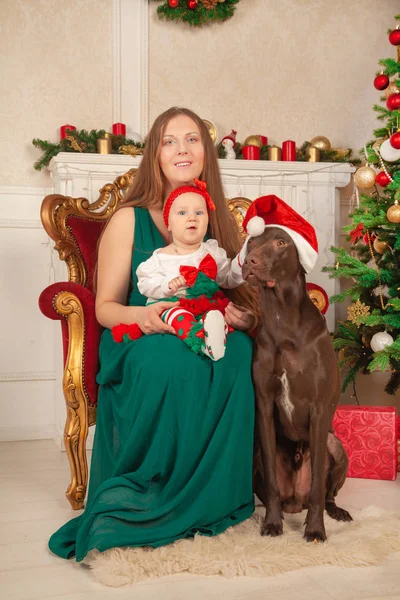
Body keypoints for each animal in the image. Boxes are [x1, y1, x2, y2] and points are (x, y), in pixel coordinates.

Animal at [242, 226, 352, 544]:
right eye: (252, 242)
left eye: (281, 242)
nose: (250, 261)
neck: (283, 320)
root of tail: (295, 503)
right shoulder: (264, 406)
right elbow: (271, 483)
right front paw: (272, 523)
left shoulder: (318, 410)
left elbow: (316, 486)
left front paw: (315, 529)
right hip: (255, 449)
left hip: (335, 445)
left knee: (326, 494)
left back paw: (336, 512)